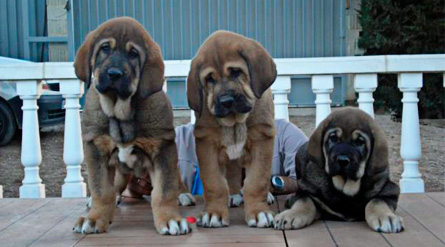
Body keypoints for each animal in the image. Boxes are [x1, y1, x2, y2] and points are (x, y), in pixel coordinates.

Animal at [73, 17, 191, 235]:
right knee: (114, 188)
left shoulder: (163, 149)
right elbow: (102, 190)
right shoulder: (96, 149)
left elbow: (164, 191)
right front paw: (95, 218)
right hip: (120, 173)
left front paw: (170, 219)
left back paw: (183, 194)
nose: (114, 74)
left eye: (133, 53)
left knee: (176, 180)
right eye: (105, 48)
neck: (120, 112)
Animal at [186, 30, 276, 228]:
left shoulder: (262, 139)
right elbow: (215, 183)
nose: (226, 101)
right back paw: (233, 195)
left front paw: (258, 212)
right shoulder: (206, 144)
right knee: (232, 173)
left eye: (236, 72)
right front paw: (214, 213)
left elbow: (257, 181)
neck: (235, 122)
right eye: (209, 79)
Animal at [272, 108, 404, 233]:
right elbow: (304, 200)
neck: (344, 188)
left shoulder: (389, 191)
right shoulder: (308, 191)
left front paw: (386, 217)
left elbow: (377, 201)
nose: (343, 160)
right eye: (333, 138)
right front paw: (290, 215)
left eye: (360, 142)